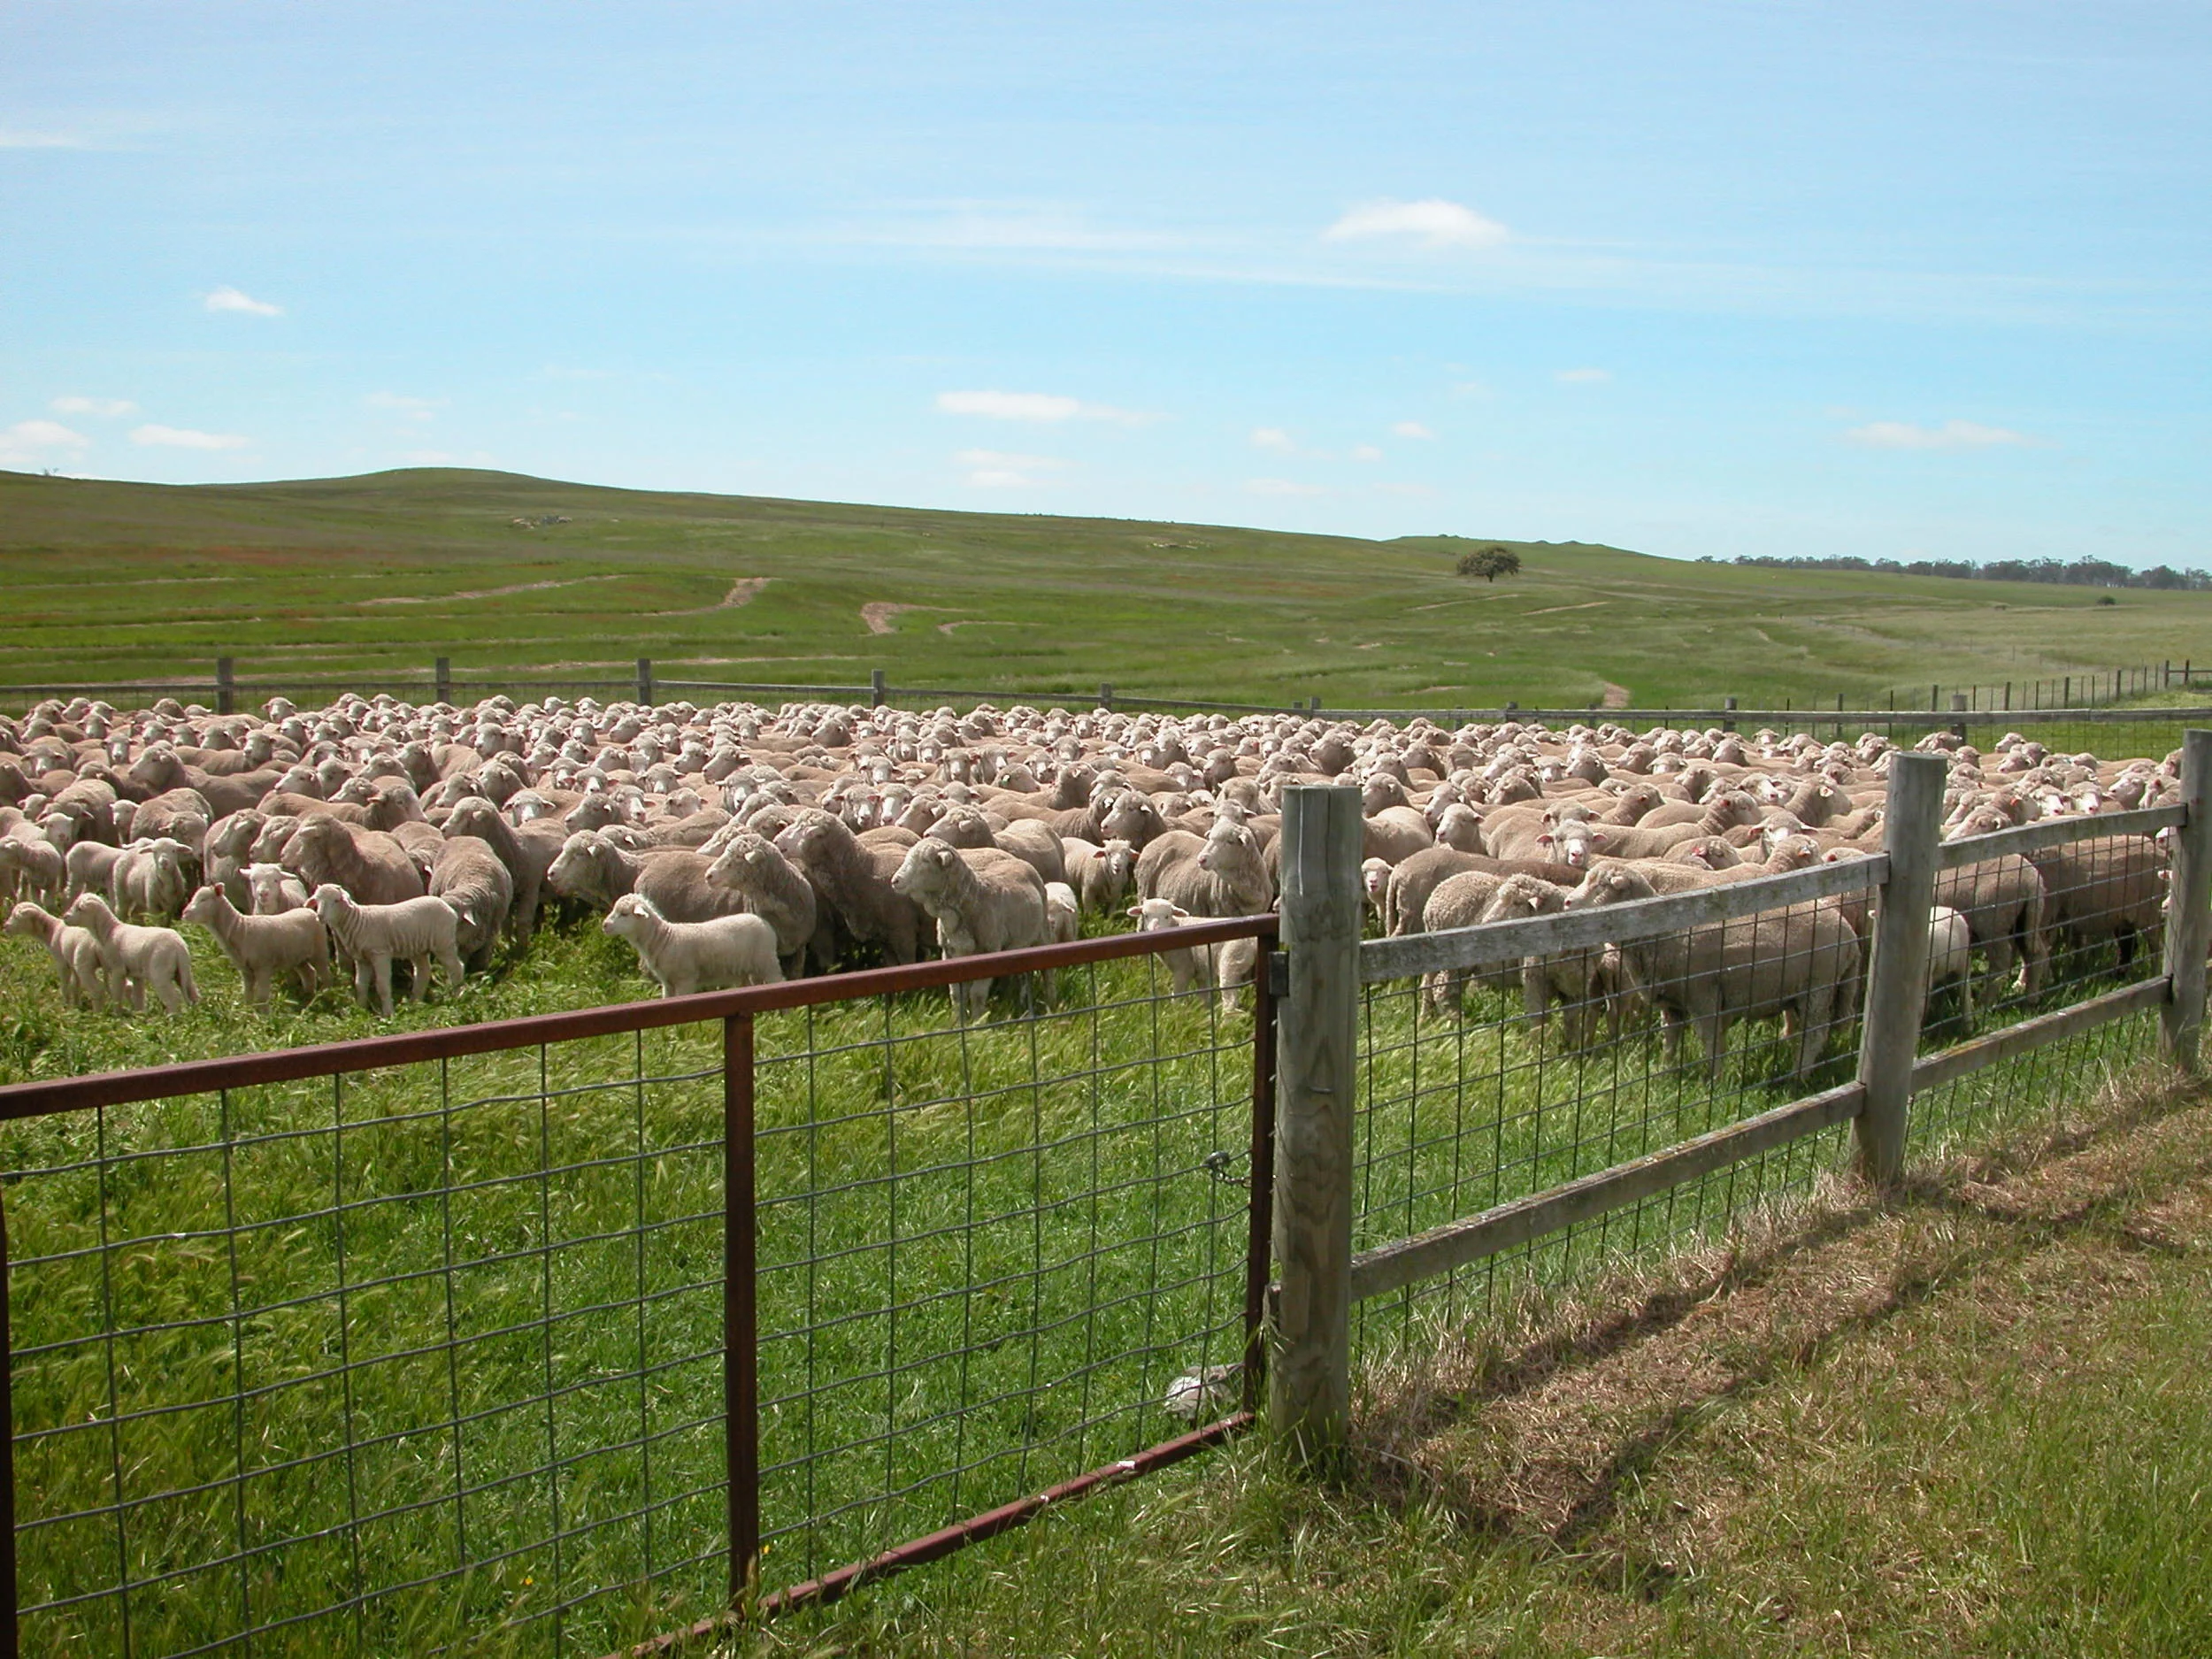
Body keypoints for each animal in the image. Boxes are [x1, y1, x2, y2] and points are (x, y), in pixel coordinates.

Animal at [60, 893, 200, 1015]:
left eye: (79, 908)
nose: (65, 917)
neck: (108, 931)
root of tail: (179, 945)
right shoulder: (136, 974)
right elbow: (139, 997)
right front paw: (139, 1016)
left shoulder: (118, 969)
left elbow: (117, 994)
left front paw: (117, 1015)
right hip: (183, 971)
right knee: (193, 993)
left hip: (160, 971)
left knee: (173, 998)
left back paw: (172, 1019)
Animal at [181, 884, 328, 1005]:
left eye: (204, 900)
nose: (184, 913)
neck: (240, 929)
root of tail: (308, 910)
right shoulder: (245, 970)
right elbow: (247, 995)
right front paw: (248, 1012)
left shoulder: (263, 967)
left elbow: (262, 998)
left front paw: (262, 1018)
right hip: (298, 957)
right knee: (309, 973)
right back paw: (308, 996)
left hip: (319, 950)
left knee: (324, 973)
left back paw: (326, 993)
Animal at [309, 884, 466, 1017]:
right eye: (317, 900)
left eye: (336, 900)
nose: (320, 916)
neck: (358, 921)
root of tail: (449, 908)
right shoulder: (361, 959)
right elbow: (360, 985)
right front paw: (360, 1010)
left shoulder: (380, 953)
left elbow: (382, 985)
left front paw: (388, 1014)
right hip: (419, 948)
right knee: (423, 972)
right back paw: (415, 1003)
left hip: (443, 943)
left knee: (456, 968)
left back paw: (457, 997)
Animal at [601, 893, 783, 997]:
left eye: (624, 914)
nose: (605, 925)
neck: (664, 938)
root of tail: (763, 921)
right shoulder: (667, 982)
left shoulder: (685, 979)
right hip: (749, 970)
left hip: (768, 962)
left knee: (778, 981)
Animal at [890, 838, 1049, 1020]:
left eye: (925, 861)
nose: (895, 881)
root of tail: (1020, 861)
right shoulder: (950, 953)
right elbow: (956, 994)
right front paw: (957, 1020)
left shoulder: (988, 952)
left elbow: (977, 994)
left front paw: (977, 1021)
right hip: (1019, 946)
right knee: (1023, 973)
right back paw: (1022, 1001)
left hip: (1042, 934)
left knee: (1047, 973)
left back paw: (1051, 1002)